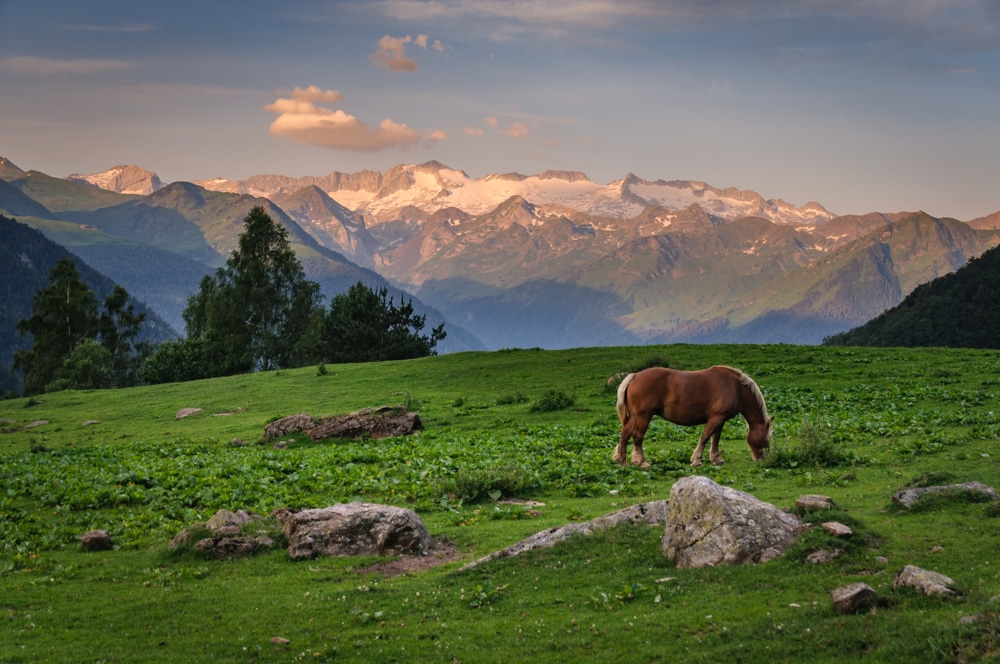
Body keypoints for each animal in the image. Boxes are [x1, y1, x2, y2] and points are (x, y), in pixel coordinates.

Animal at [616, 366, 772, 470]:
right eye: (767, 438)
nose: (763, 460)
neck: (736, 388)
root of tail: (635, 376)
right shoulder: (716, 418)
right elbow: (705, 437)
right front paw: (697, 460)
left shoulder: (721, 420)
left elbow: (715, 439)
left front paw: (716, 459)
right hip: (644, 416)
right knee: (637, 436)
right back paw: (642, 462)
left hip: (634, 417)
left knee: (625, 435)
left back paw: (622, 461)